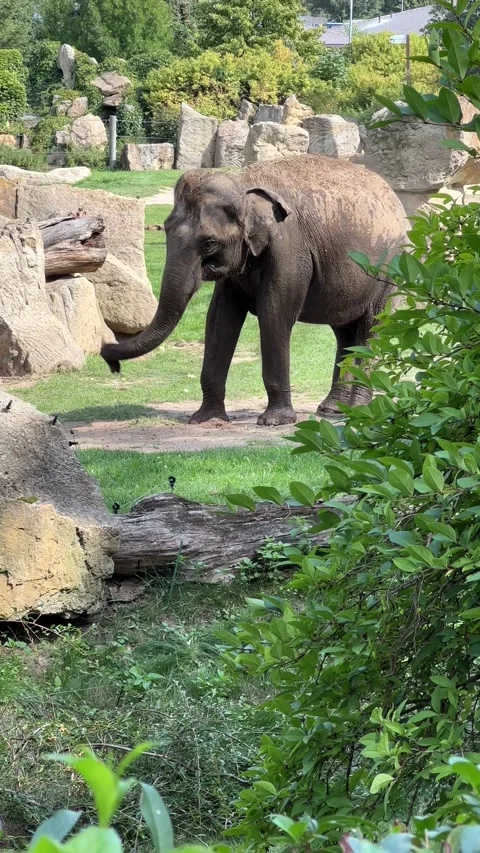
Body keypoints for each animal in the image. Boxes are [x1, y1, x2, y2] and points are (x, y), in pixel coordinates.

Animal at [101, 154, 407, 426]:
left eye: (210, 243)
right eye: (165, 229)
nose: (109, 357)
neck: (242, 180)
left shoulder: (289, 248)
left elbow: (274, 314)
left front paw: (275, 421)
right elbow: (220, 318)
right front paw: (205, 419)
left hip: (391, 268)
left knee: (371, 327)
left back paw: (358, 409)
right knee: (344, 331)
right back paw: (334, 409)